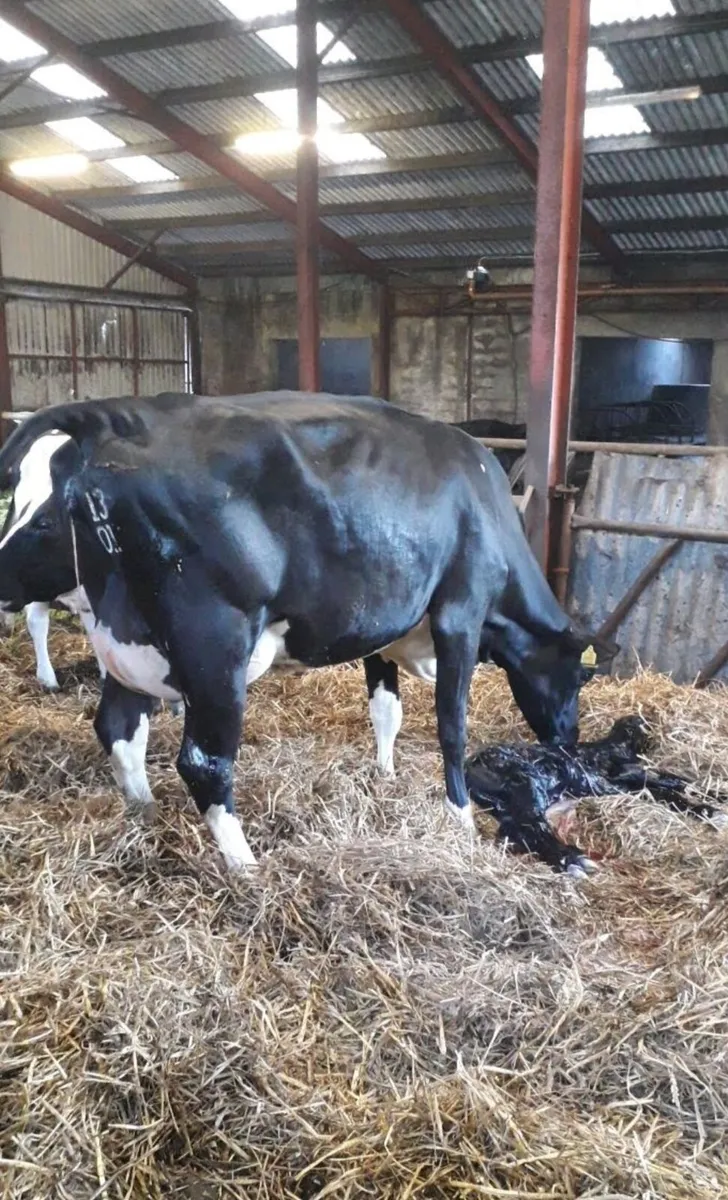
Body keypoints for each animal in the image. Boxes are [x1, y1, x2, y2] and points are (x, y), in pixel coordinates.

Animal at [0, 391, 610, 875]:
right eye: (578, 680)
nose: (569, 737)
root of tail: (117, 415)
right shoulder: (460, 611)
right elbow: (451, 726)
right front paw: (459, 818)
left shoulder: (379, 626)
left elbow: (386, 711)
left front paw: (385, 774)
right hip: (213, 644)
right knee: (203, 761)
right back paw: (246, 866)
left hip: (126, 640)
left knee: (120, 729)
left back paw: (145, 817)